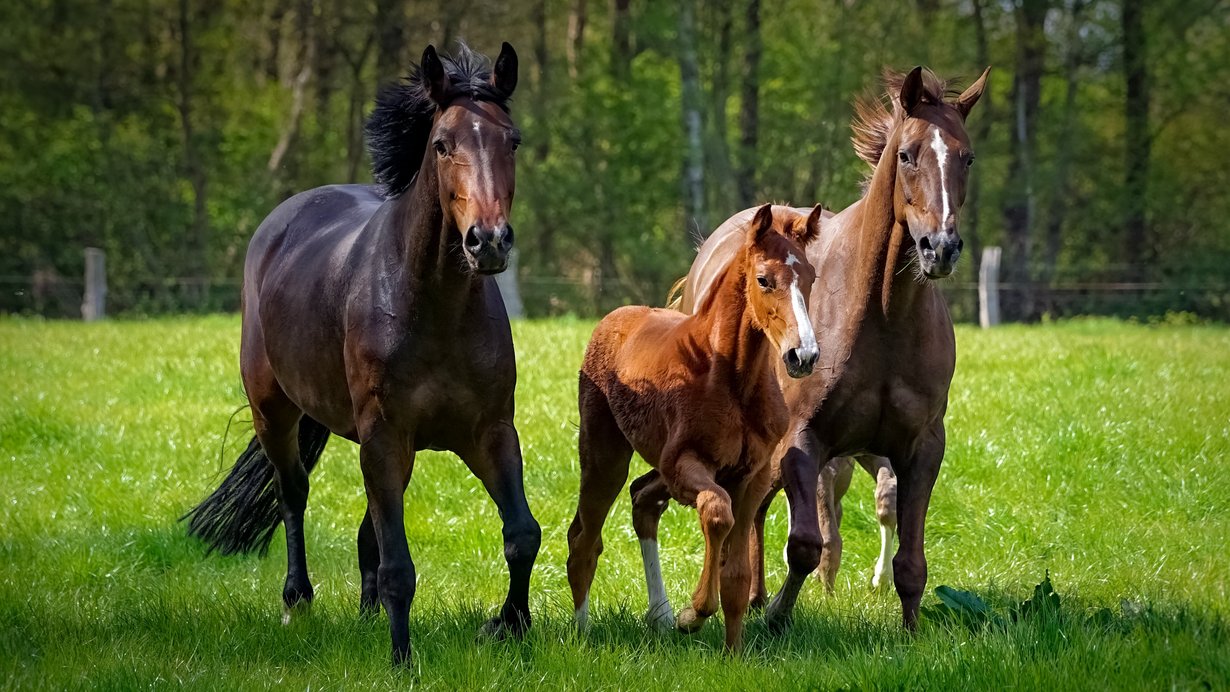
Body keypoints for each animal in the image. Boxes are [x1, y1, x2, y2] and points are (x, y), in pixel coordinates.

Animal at [182, 43, 540, 666]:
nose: (489, 241)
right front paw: (401, 658)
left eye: (511, 140)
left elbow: (521, 534)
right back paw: (297, 599)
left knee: (367, 526)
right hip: (275, 412)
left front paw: (508, 627)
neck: (434, 307)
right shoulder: (384, 434)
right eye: (442, 143)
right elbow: (400, 565)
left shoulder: (489, 431)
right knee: (293, 494)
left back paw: (366, 613)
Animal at [566, 204, 823, 652]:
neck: (731, 377)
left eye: (809, 276)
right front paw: (694, 613)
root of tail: (615, 317)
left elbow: (737, 574)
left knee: (640, 503)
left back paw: (659, 616)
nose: (803, 355)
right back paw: (584, 634)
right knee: (584, 539)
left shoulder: (753, 476)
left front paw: (733, 653)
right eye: (763, 279)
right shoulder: (684, 464)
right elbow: (717, 512)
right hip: (604, 457)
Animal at [656, 66, 989, 632]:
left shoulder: (922, 447)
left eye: (966, 157)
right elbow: (806, 545)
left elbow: (911, 559)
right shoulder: (802, 442)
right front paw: (775, 617)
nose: (940, 249)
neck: (882, 317)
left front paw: (911, 630)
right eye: (907, 154)